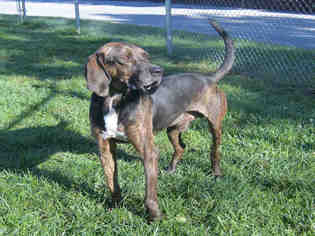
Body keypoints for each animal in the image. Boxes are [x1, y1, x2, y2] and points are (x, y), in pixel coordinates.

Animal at [85, 21, 236, 220]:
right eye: (124, 58)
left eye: (146, 56)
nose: (159, 71)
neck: (115, 100)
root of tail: (208, 78)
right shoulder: (105, 148)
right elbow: (112, 182)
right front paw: (115, 206)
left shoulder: (148, 150)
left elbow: (150, 191)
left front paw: (154, 216)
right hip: (172, 129)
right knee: (181, 148)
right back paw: (171, 170)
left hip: (215, 126)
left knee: (215, 151)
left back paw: (216, 173)